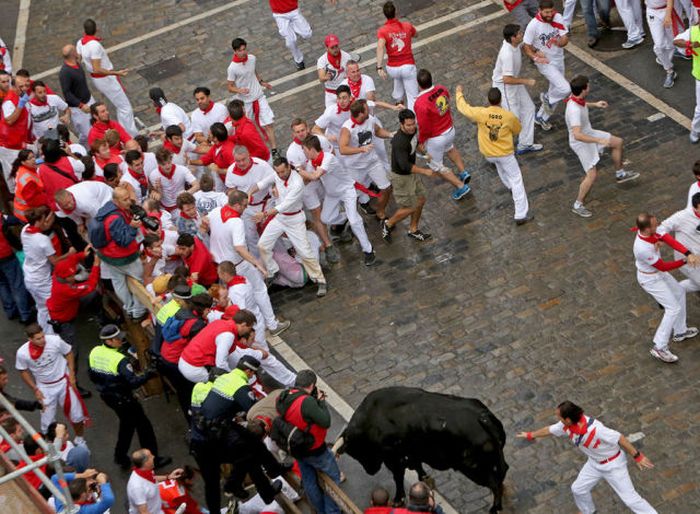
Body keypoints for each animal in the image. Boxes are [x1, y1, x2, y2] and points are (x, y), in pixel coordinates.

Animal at [334, 386, 508, 510]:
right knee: (502, 473)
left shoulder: (394, 459)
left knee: (494, 484)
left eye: (357, 450)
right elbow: (418, 467)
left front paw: (398, 499)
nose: (371, 471)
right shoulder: (412, 453)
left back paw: (495, 508)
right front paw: (424, 478)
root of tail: (482, 417)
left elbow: (398, 477)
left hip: (475, 468)